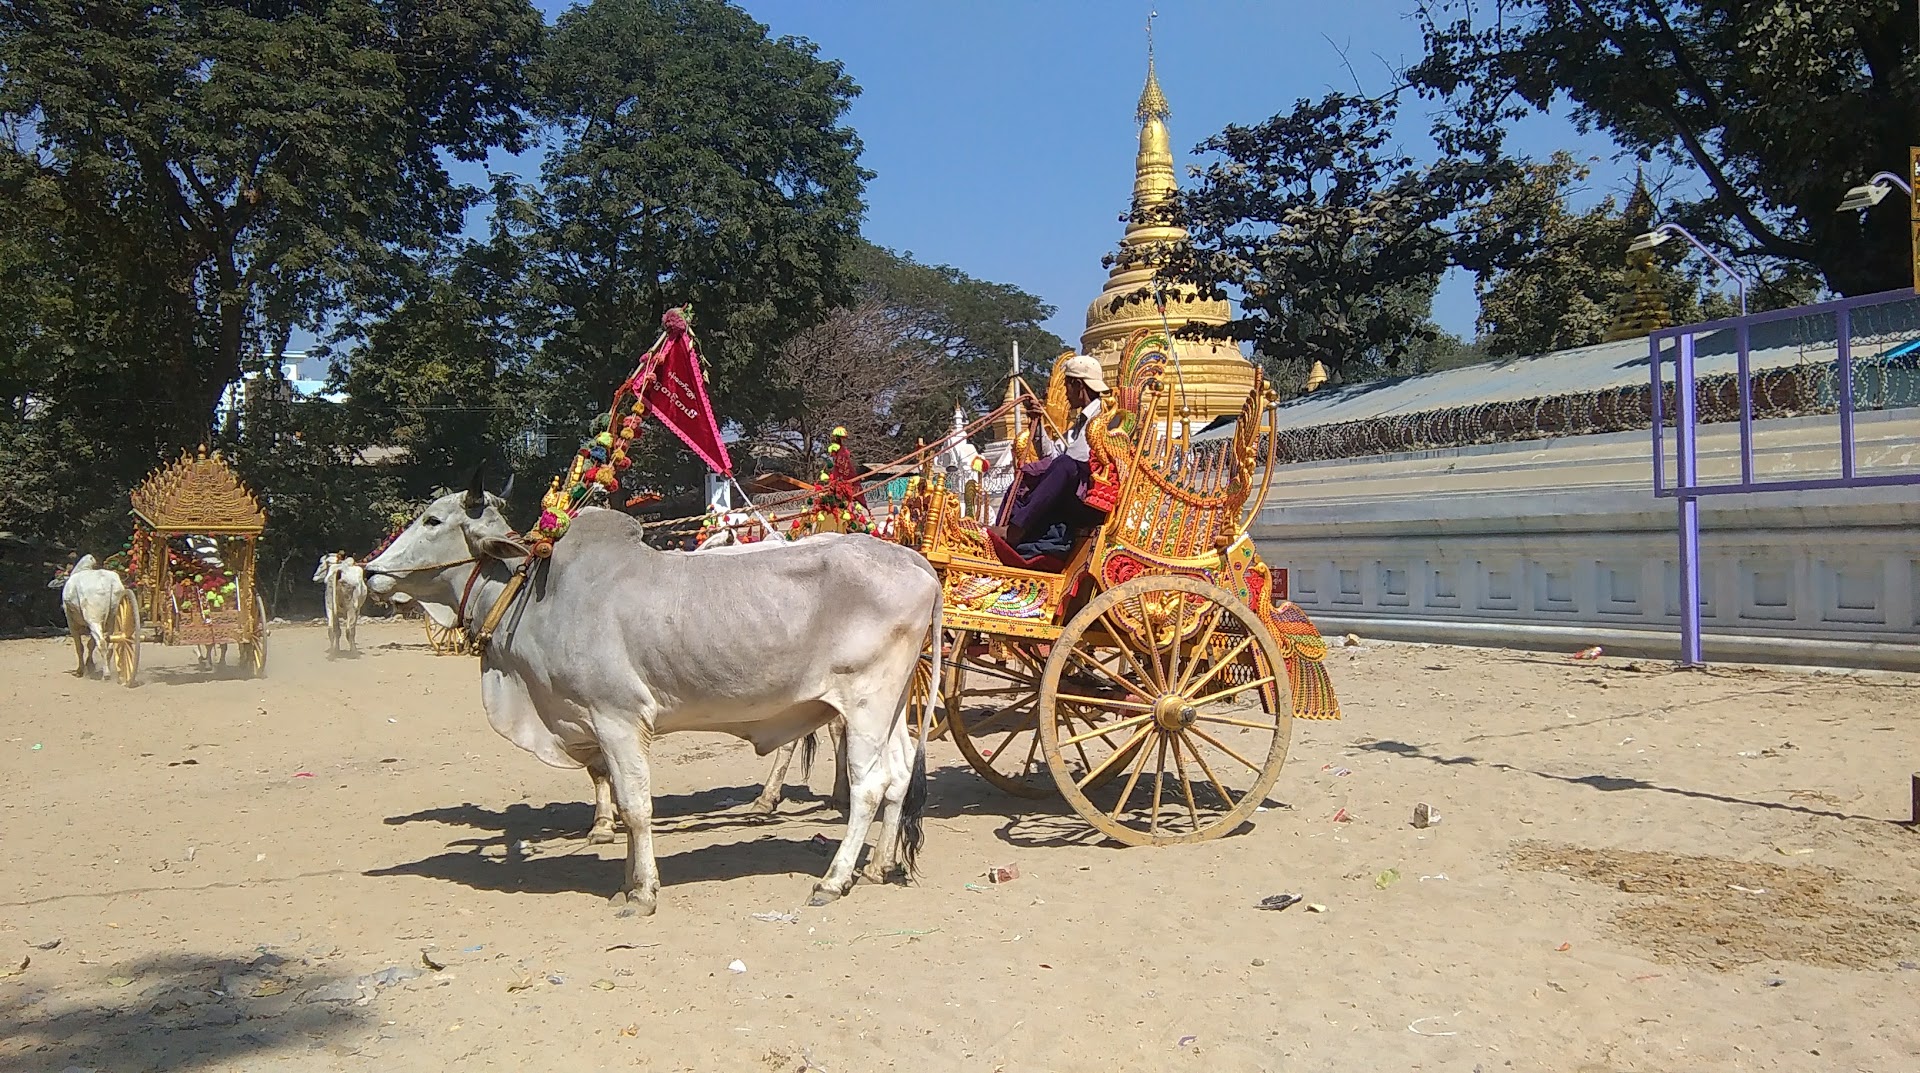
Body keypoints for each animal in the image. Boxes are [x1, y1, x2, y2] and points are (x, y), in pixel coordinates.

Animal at [365, 481, 941, 914]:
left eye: (432, 520)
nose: (368, 571)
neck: (534, 594)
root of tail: (917, 563)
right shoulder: (594, 727)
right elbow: (620, 802)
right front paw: (625, 880)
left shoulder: (618, 719)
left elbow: (636, 807)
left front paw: (642, 892)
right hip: (888, 708)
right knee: (899, 774)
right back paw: (879, 865)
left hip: (865, 702)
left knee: (869, 786)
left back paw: (834, 879)